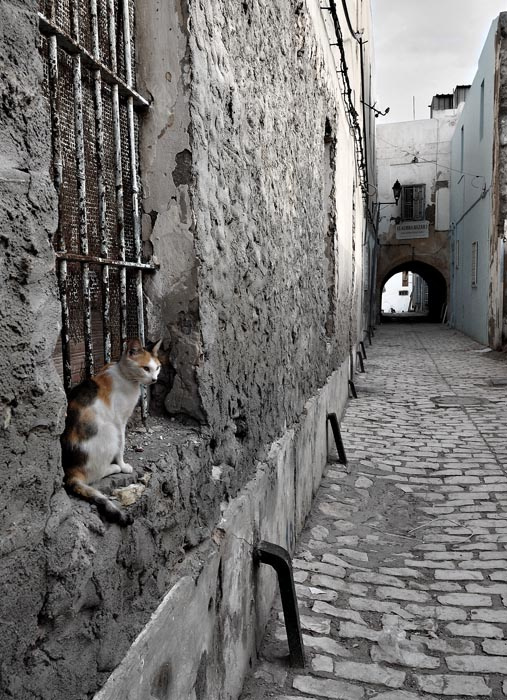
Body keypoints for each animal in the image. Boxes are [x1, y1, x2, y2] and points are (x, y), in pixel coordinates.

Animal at [61, 338, 162, 526]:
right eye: (146, 368)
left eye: (157, 367)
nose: (154, 379)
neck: (126, 376)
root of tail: (70, 471)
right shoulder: (120, 421)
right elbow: (121, 446)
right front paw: (123, 465)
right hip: (109, 431)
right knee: (94, 474)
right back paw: (114, 467)